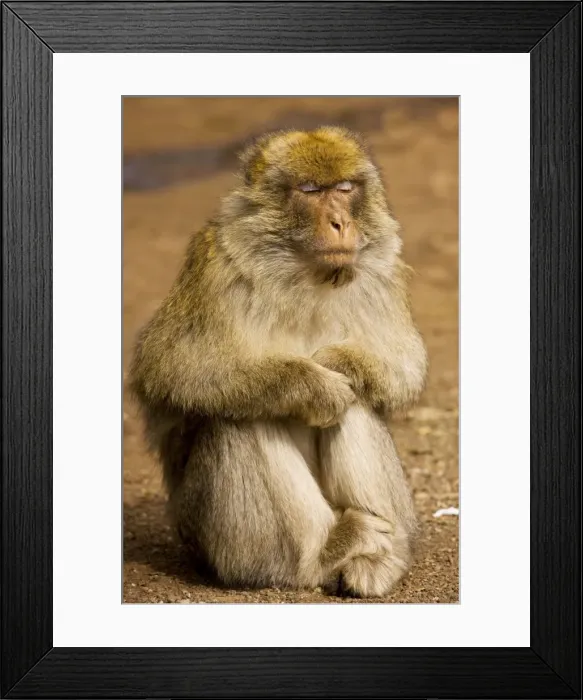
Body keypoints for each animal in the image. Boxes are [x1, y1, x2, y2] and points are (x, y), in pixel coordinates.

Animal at [129, 126, 428, 598]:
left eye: (344, 188)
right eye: (310, 191)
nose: (341, 223)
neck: (304, 272)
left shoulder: (384, 274)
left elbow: (403, 363)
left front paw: (339, 362)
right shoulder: (216, 267)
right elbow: (171, 369)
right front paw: (311, 385)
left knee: (357, 401)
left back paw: (372, 562)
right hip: (215, 542)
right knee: (239, 416)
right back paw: (324, 553)